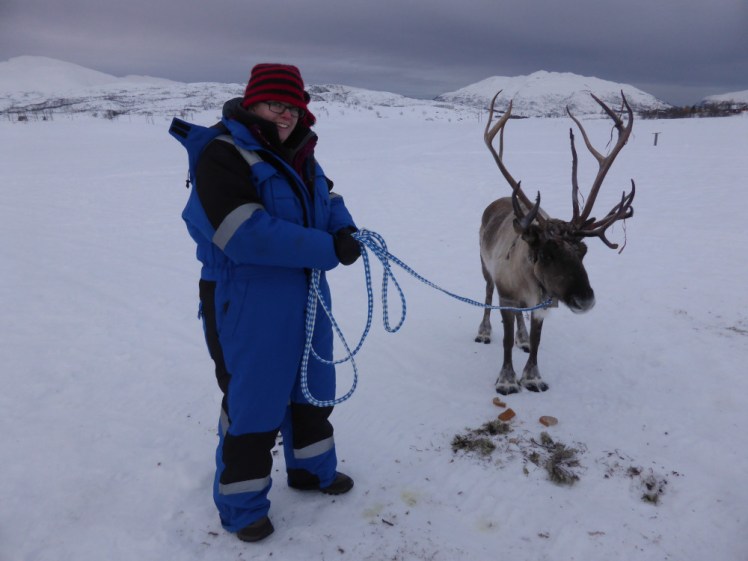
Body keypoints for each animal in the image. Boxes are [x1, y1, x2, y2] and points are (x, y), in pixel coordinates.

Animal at [475, 90, 635, 395]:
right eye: (547, 254)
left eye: (583, 251)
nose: (585, 300)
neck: (528, 280)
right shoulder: (507, 295)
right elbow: (505, 340)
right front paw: (507, 380)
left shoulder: (542, 305)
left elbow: (537, 341)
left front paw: (532, 377)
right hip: (484, 266)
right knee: (486, 295)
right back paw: (484, 331)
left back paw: (522, 338)